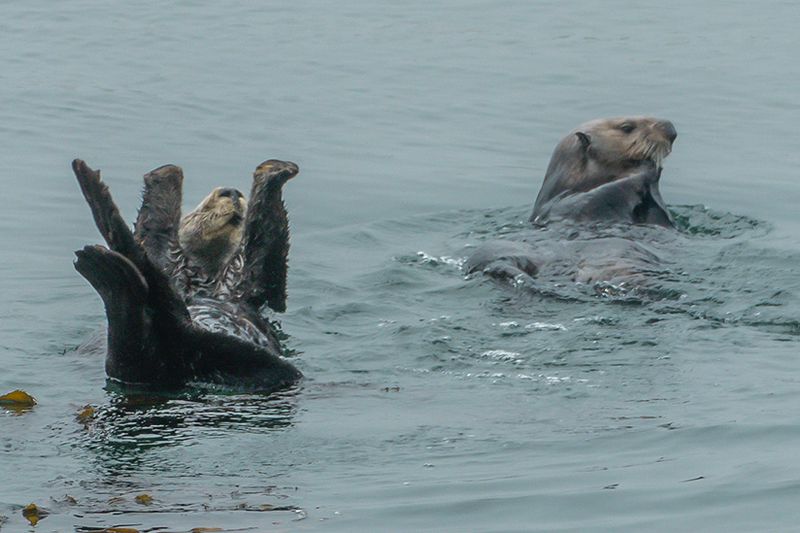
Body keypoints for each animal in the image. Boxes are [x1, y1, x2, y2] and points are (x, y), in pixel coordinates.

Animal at [72, 159, 302, 390]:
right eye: (203, 207)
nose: (231, 192)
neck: (206, 282)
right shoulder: (165, 258)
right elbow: (155, 227)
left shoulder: (249, 282)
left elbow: (265, 251)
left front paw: (274, 170)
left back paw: (107, 268)